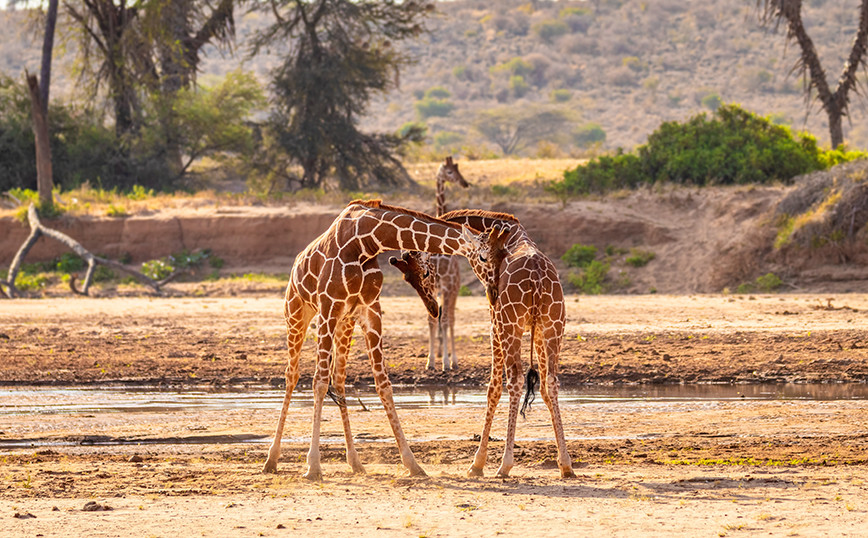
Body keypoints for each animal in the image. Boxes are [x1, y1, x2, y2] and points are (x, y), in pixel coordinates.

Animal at [260, 199, 502, 480]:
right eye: (484, 257)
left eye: (427, 272)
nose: (494, 289)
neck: (366, 241)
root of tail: (295, 266)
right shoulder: (329, 307)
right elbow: (318, 382)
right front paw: (313, 466)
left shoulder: (369, 310)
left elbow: (383, 383)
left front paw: (412, 463)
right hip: (297, 314)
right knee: (292, 375)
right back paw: (271, 459)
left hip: (345, 323)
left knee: (339, 380)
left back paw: (355, 462)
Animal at [428, 209, 576, 478]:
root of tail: (537, 278)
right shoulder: (539, 332)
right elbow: (545, 390)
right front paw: (562, 461)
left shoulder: (494, 326)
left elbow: (492, 389)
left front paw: (477, 463)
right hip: (554, 326)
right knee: (552, 381)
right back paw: (567, 465)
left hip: (510, 327)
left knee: (515, 381)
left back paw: (505, 464)